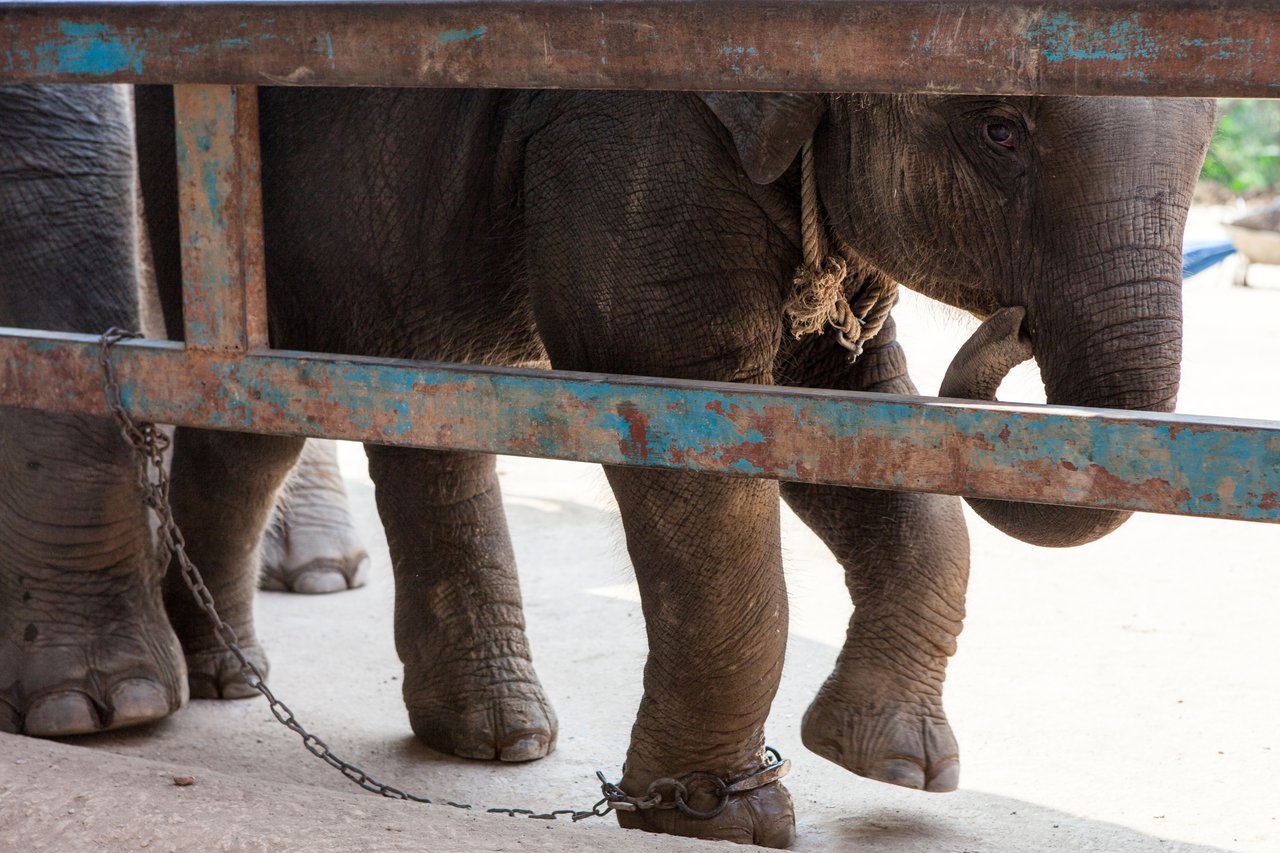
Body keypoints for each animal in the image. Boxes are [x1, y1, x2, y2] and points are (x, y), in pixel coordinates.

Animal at [0, 79, 1214, 849]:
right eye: (1001, 131)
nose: (1013, 326)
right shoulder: (633, 139)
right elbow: (691, 411)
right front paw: (718, 819)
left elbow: (841, 410)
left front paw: (890, 766)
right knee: (286, 399)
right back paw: (226, 690)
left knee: (405, 400)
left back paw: (465, 735)